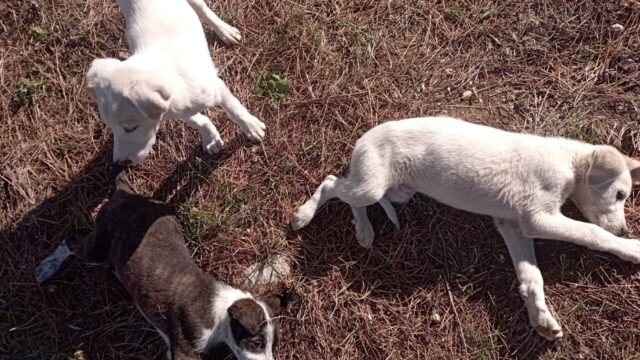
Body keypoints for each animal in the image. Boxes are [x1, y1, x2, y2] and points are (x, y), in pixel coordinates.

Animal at [36, 180, 284, 360]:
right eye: (257, 344)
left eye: (271, 345)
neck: (221, 314)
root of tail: (124, 192)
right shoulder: (185, 349)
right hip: (97, 247)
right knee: (70, 241)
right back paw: (47, 268)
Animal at [86, 0, 264, 165]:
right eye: (110, 126)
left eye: (131, 128)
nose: (120, 162)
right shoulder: (178, 110)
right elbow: (198, 121)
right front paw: (210, 138)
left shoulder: (217, 89)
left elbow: (235, 110)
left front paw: (251, 126)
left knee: (202, 8)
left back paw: (225, 30)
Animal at [292, 116, 640, 340]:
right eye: (620, 194)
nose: (624, 230)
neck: (566, 161)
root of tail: (362, 140)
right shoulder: (537, 217)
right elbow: (592, 233)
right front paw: (631, 248)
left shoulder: (513, 224)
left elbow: (531, 277)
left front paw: (540, 317)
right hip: (371, 184)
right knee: (333, 183)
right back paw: (309, 215)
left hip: (398, 192)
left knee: (351, 195)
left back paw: (363, 229)